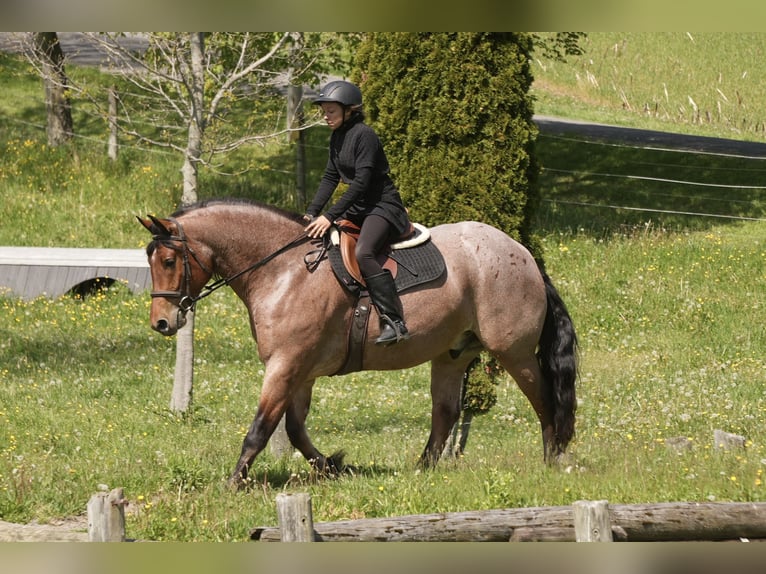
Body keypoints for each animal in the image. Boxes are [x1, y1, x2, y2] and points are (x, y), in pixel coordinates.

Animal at [138, 198, 578, 488]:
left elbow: (261, 428)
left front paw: (234, 482)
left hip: (512, 352)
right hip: (452, 353)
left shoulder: (285, 364)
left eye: (169, 261)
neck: (283, 270)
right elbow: (295, 429)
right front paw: (333, 466)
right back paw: (422, 469)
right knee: (446, 412)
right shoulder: (301, 371)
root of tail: (522, 253)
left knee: (545, 399)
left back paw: (552, 459)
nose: (162, 322)